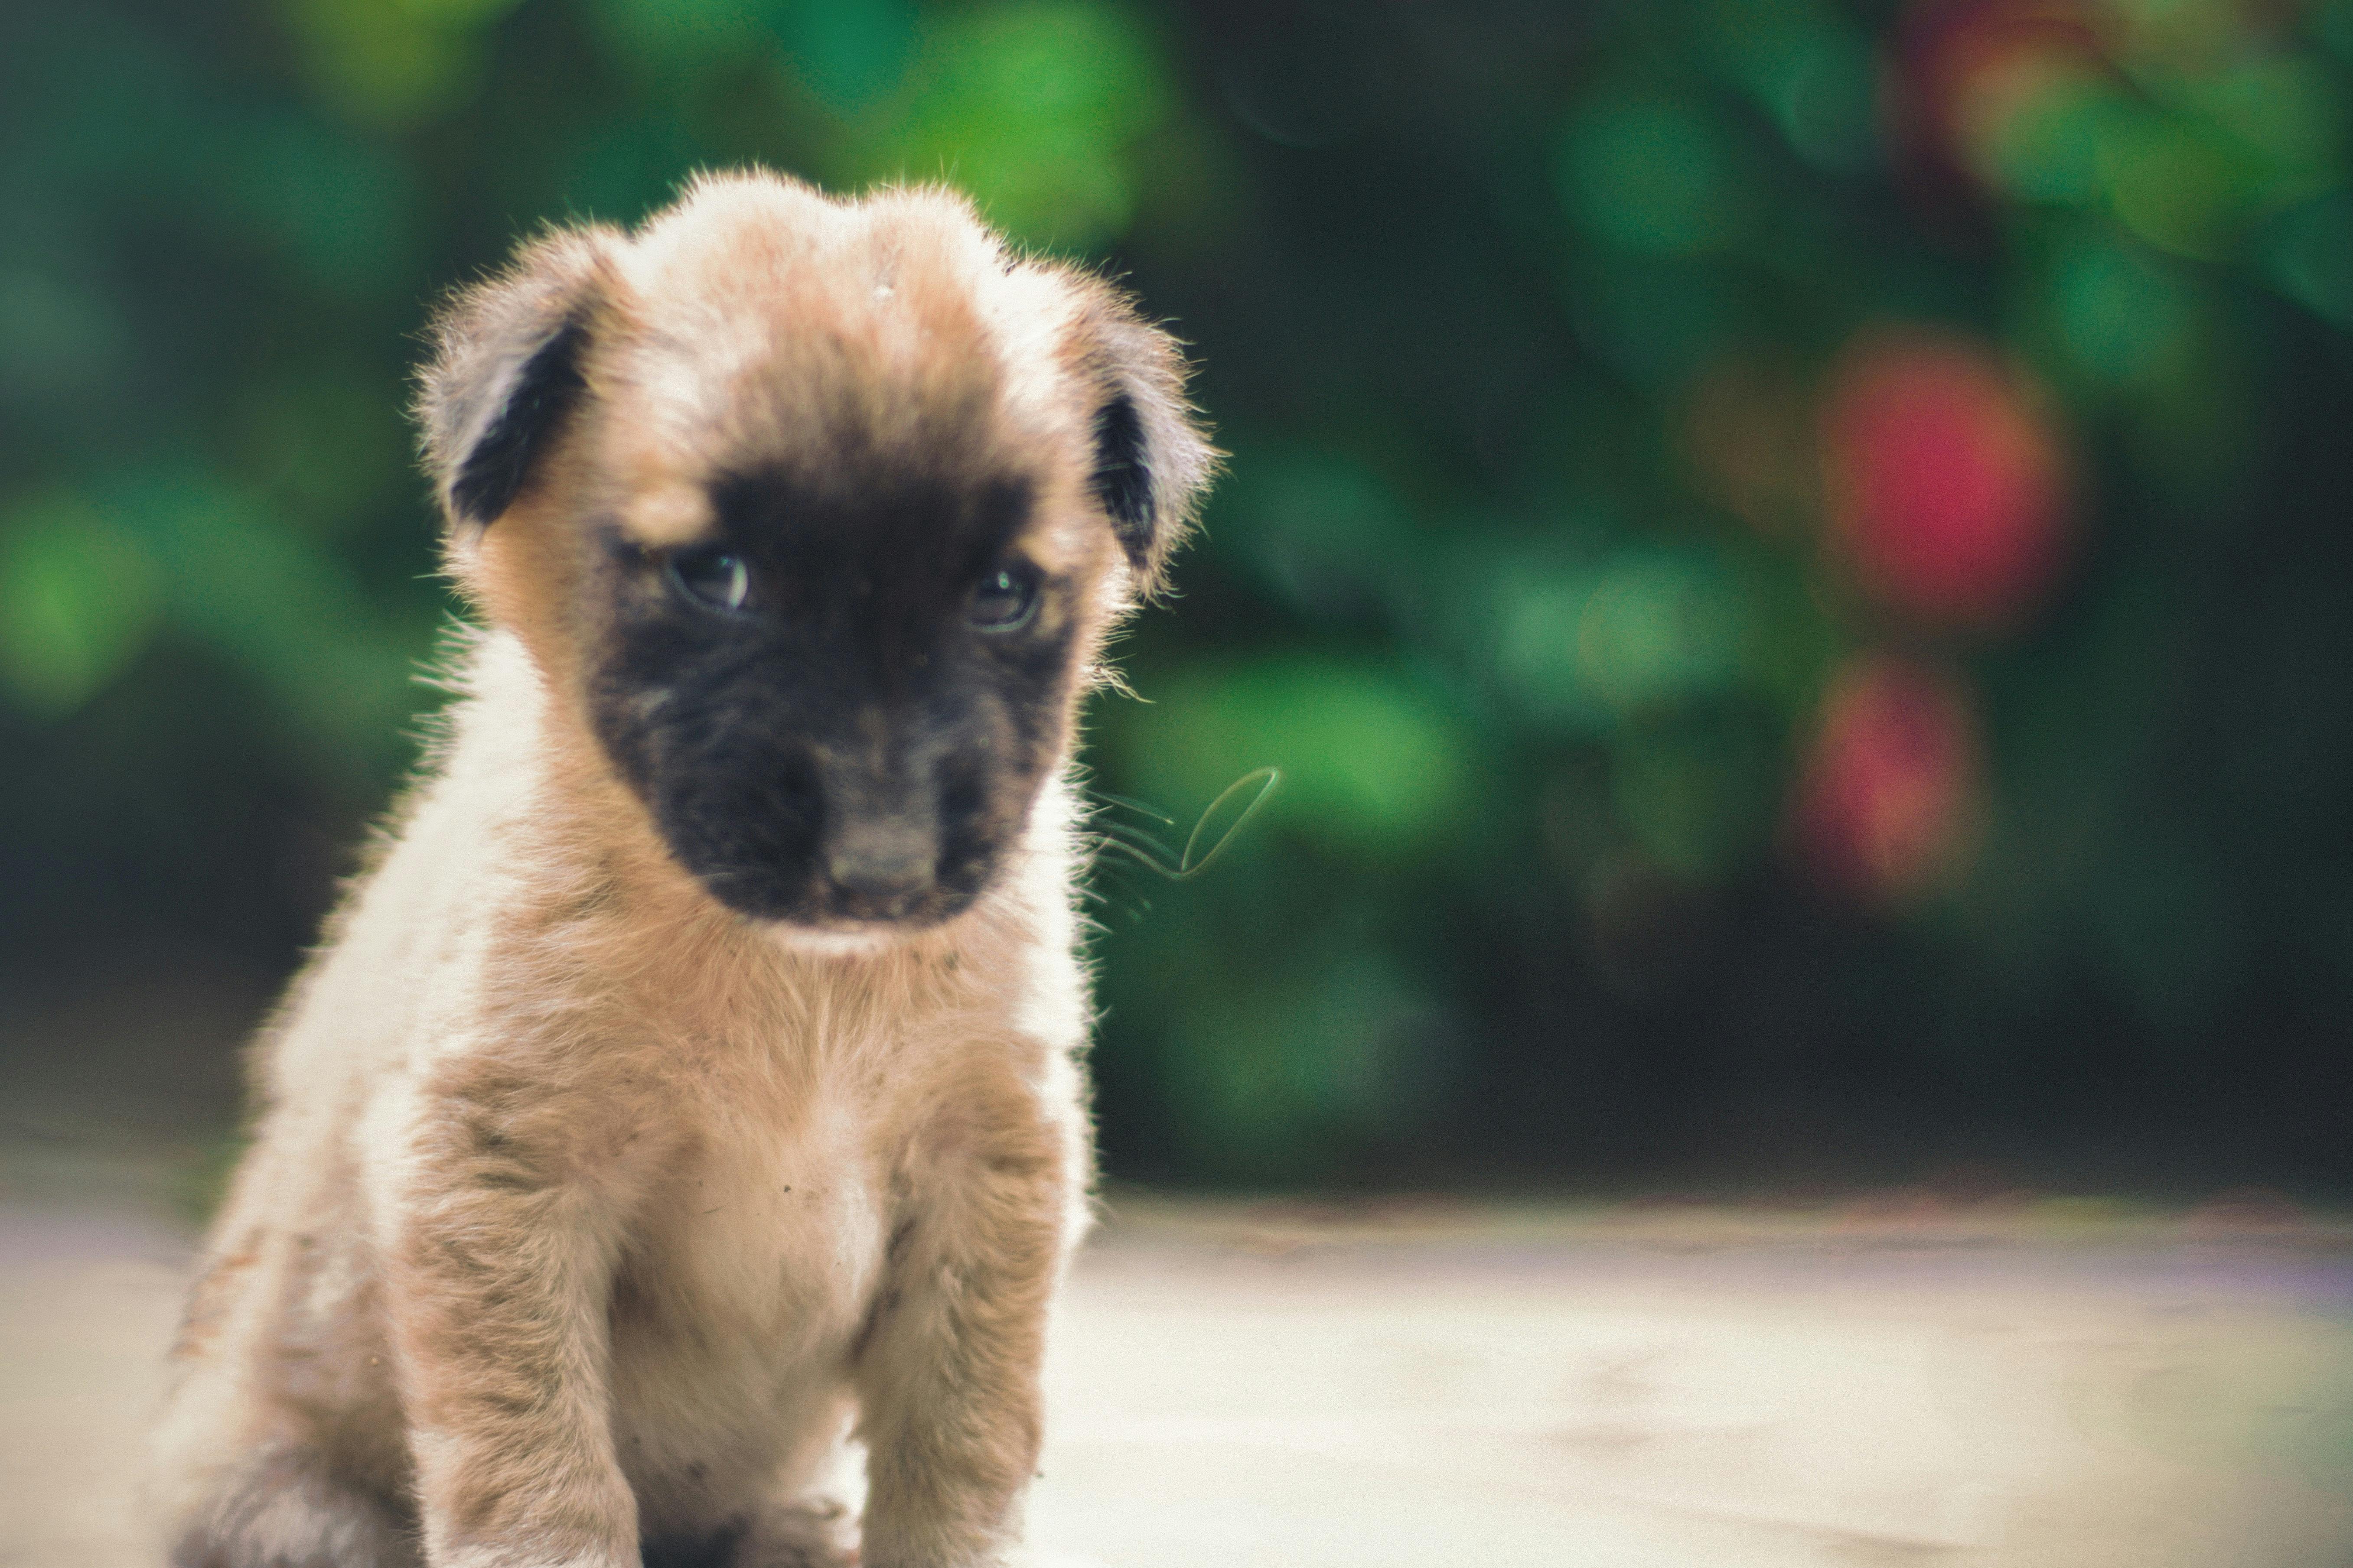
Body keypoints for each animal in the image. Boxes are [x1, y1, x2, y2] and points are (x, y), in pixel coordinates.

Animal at [152, 171, 1214, 1568]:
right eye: (718, 577)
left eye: (999, 592)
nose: (879, 870)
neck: (803, 993)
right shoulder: (500, 1177)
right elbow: (542, 1473)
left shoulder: (987, 1175)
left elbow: (959, 1452)